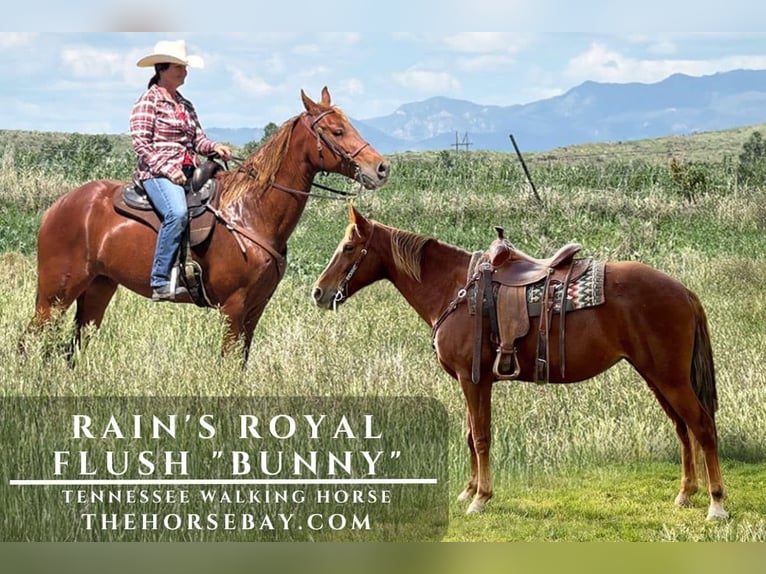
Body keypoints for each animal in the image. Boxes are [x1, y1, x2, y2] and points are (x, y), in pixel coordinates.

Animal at [22, 87, 390, 362]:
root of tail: (57, 208)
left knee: (72, 347)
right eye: (337, 131)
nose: (382, 168)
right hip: (56, 293)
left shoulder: (256, 307)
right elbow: (227, 360)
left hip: (98, 287)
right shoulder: (233, 306)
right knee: (29, 341)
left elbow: (240, 361)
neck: (250, 213)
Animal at [311, 206, 728, 521]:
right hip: (656, 377)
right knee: (682, 428)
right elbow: (468, 434)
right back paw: (685, 494)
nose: (318, 292)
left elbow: (481, 436)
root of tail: (682, 290)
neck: (454, 289)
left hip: (670, 377)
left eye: (349, 247)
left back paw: (717, 504)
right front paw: (468, 492)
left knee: (702, 426)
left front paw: (481, 498)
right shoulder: (470, 382)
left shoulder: (474, 380)